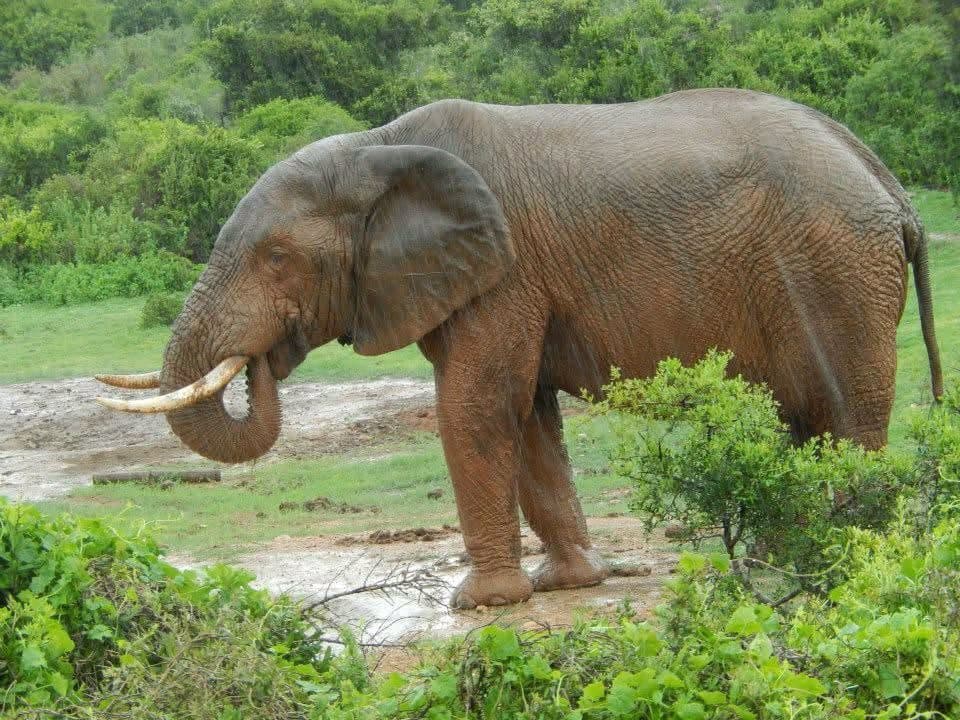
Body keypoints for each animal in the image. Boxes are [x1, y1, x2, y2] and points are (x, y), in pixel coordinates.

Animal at [96, 88, 942, 610]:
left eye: (275, 258)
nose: (269, 353)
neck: (378, 147)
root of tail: (889, 186)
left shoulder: (502, 274)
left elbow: (478, 407)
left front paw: (480, 603)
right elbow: (529, 414)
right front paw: (566, 583)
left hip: (837, 269)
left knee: (843, 415)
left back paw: (843, 557)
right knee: (803, 419)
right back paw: (777, 554)